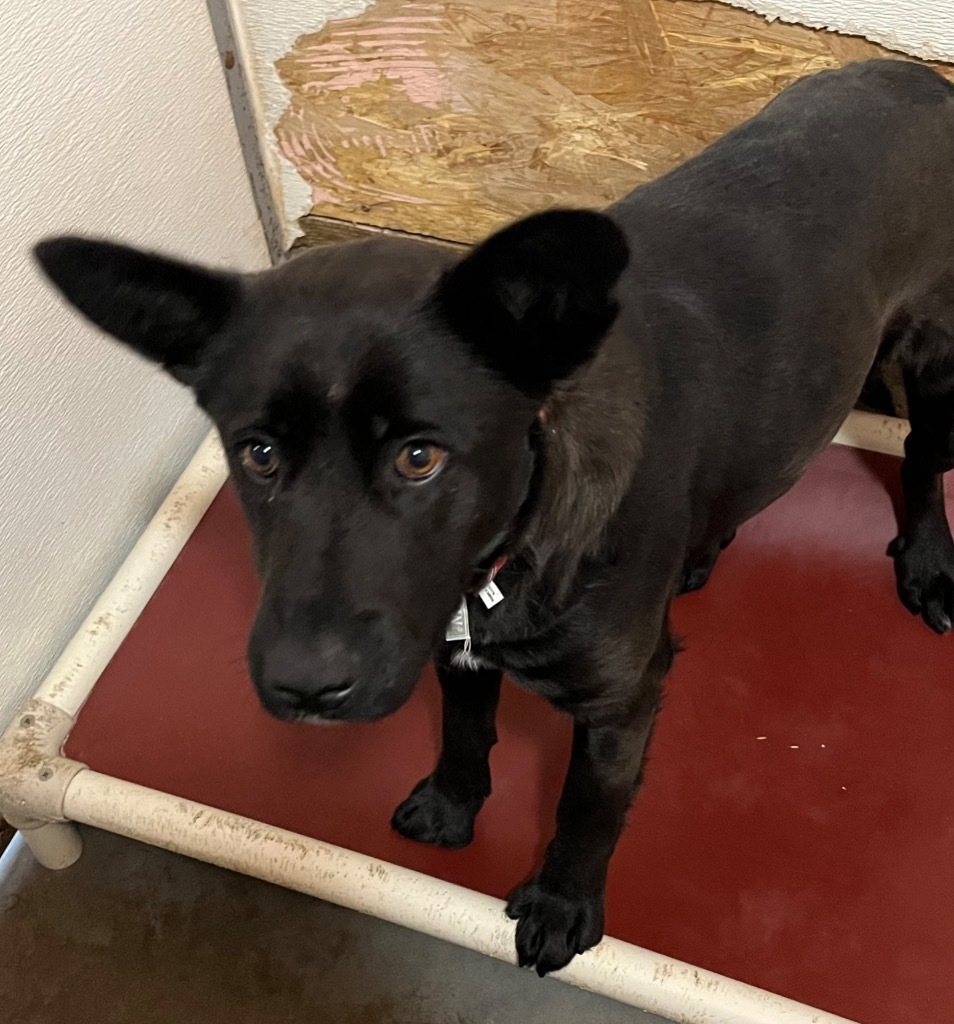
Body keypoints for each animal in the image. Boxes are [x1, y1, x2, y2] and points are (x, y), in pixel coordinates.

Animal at [33, 61, 953, 974]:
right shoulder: (448, 647)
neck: (511, 553)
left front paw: (563, 902)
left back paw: (927, 560)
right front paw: (451, 804)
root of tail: (917, 76)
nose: (305, 690)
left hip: (938, 359)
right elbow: (465, 734)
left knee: (921, 456)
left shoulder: (622, 702)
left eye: (420, 457)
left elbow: (587, 807)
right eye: (257, 452)